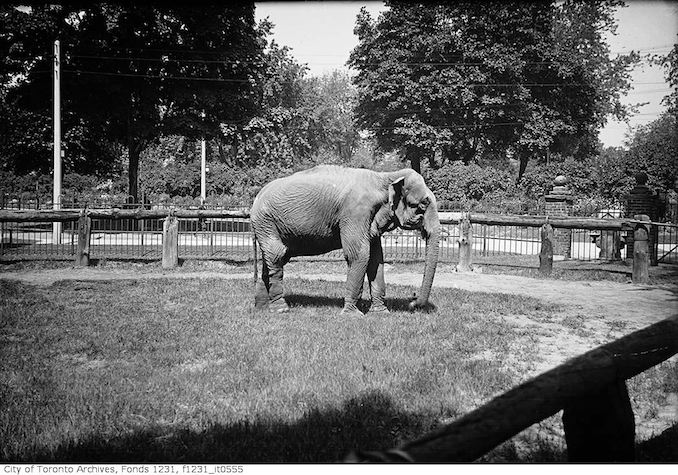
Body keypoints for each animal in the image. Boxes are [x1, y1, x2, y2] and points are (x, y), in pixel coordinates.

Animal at [250, 165, 440, 314]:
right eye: (422, 204)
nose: (412, 302)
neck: (385, 177)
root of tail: (257, 198)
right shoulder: (355, 212)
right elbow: (359, 255)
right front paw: (352, 315)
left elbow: (376, 259)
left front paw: (382, 313)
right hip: (266, 221)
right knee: (277, 255)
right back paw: (281, 309)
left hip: (269, 225)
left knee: (272, 259)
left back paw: (262, 308)